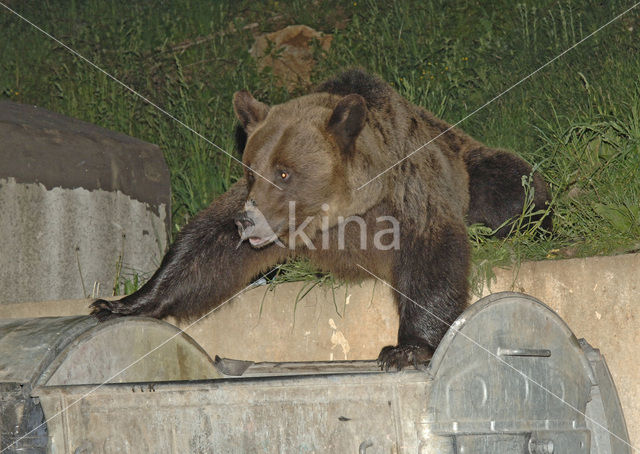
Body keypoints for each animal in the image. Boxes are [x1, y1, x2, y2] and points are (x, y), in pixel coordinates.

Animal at [91, 69, 552, 370]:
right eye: (251, 169)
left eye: (284, 172)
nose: (247, 223)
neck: (338, 214)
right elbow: (202, 252)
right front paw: (118, 303)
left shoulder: (409, 194)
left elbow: (432, 255)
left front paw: (405, 349)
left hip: (474, 168)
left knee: (513, 186)